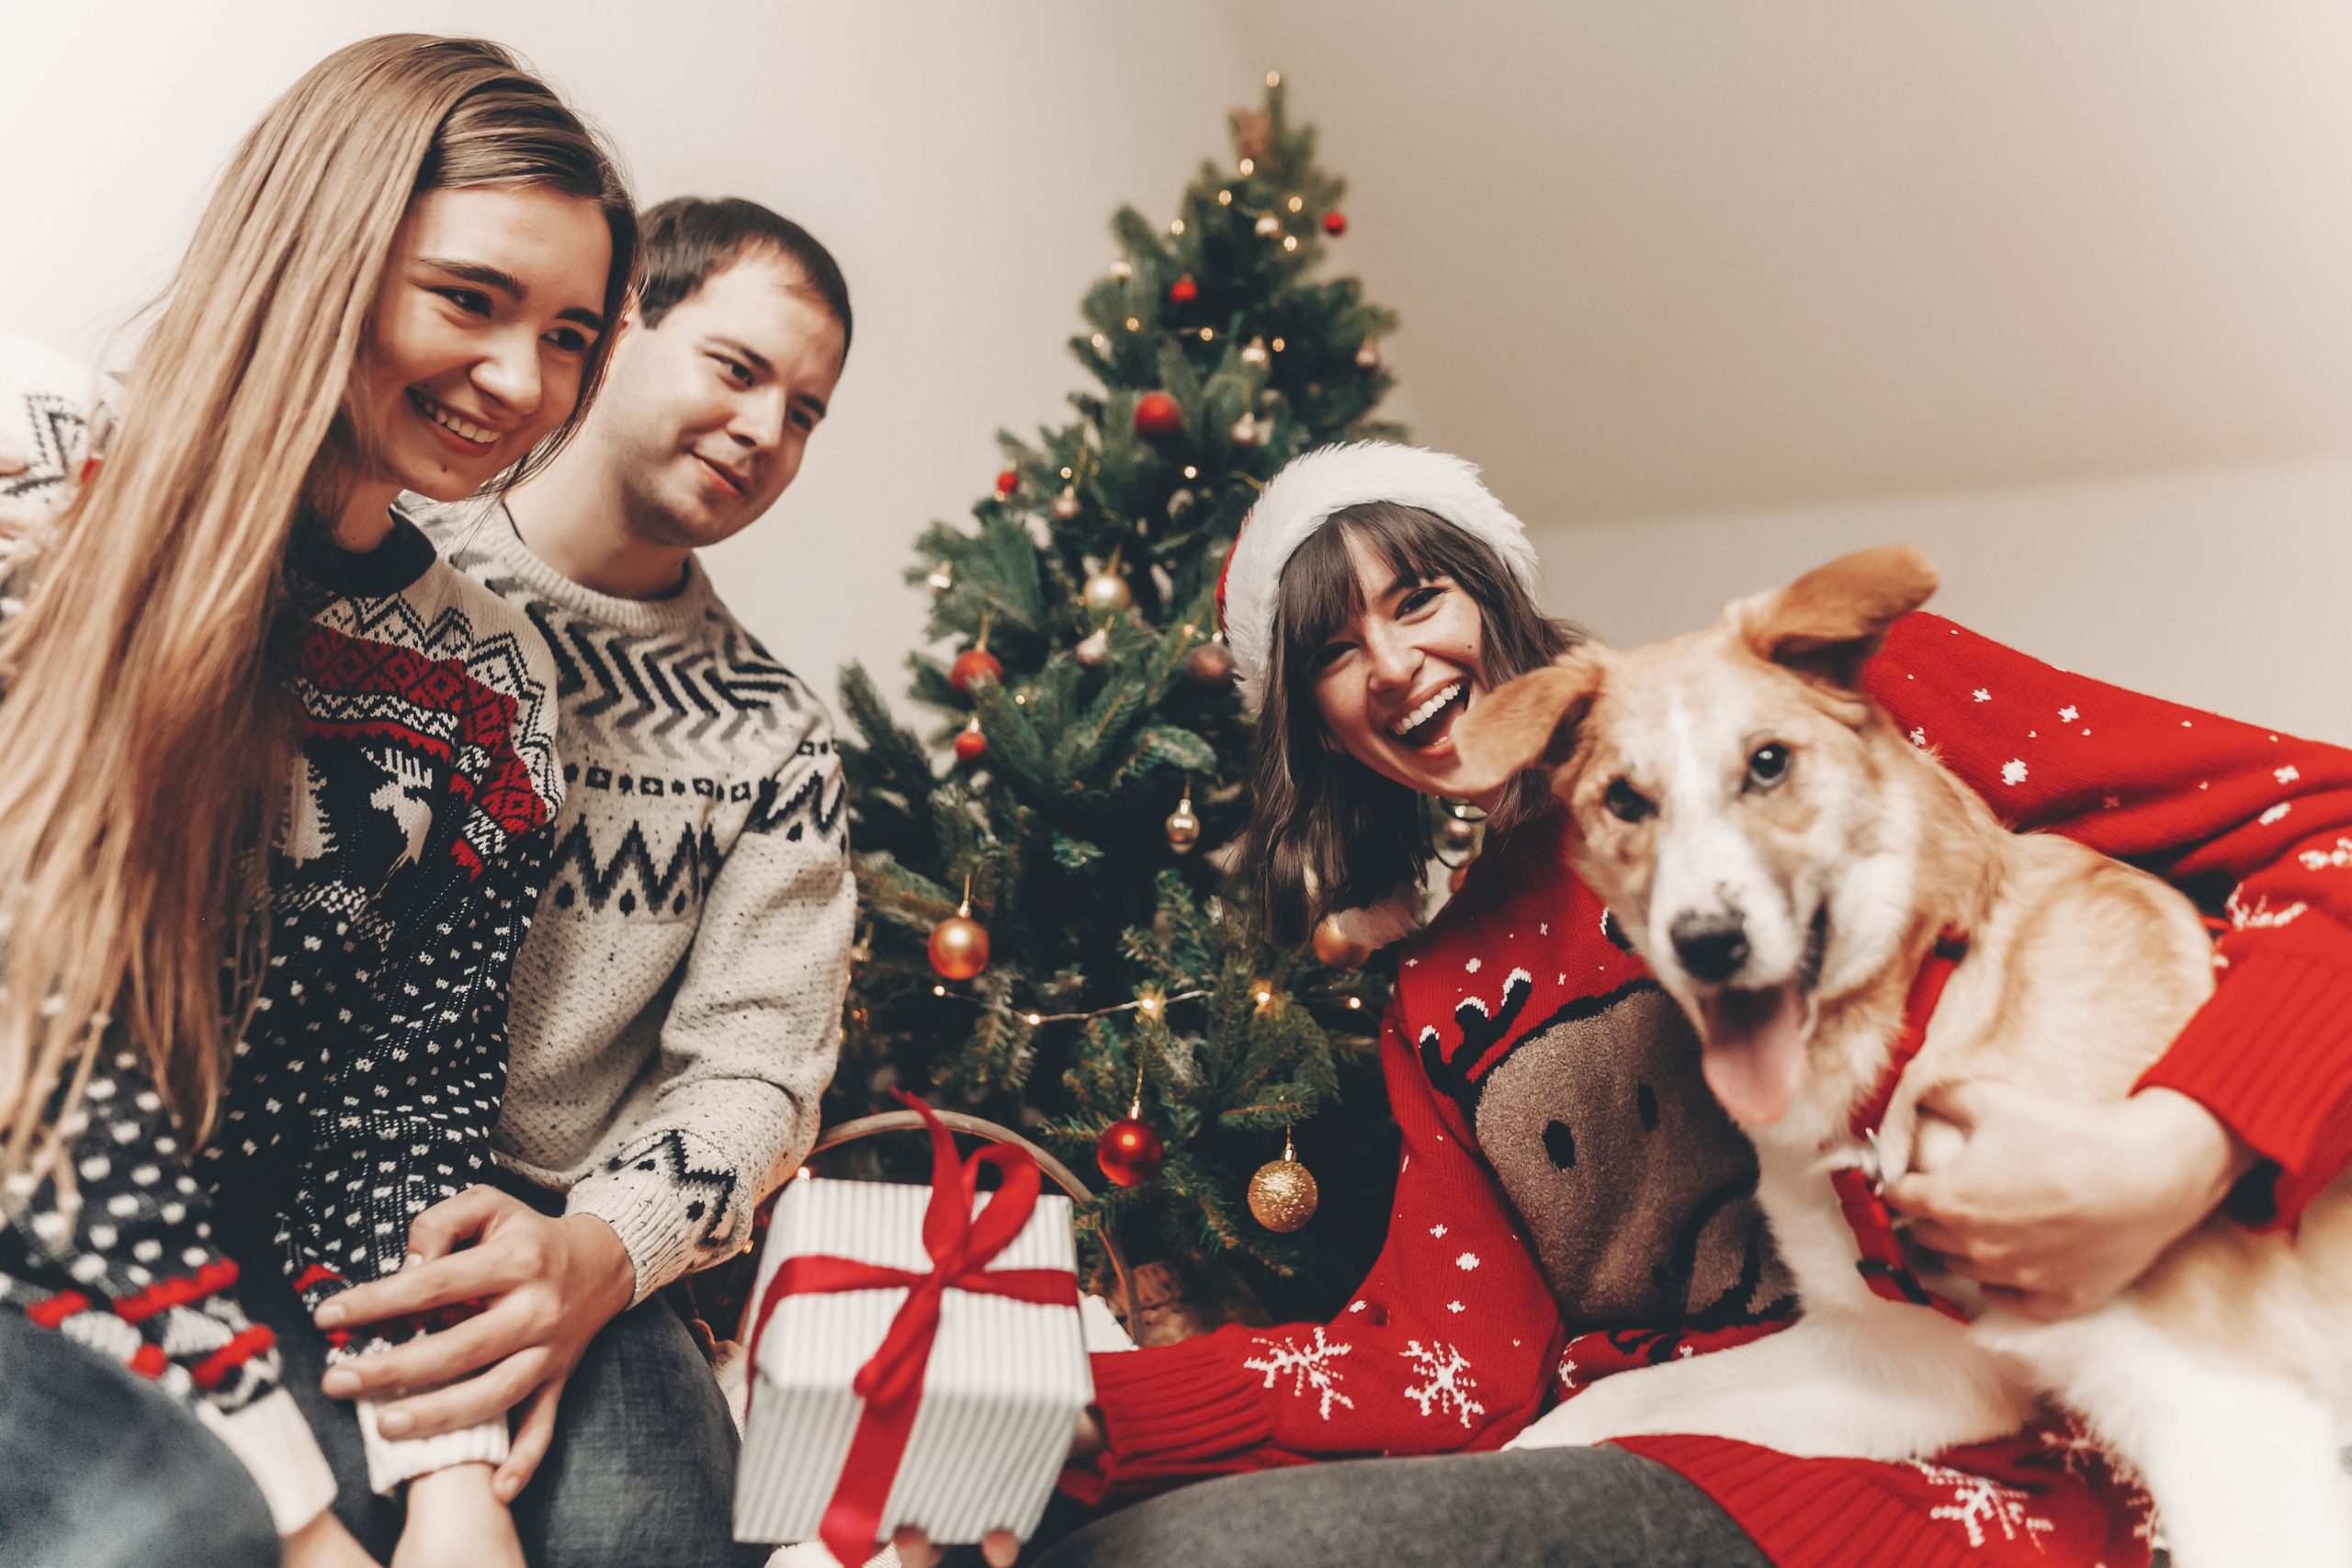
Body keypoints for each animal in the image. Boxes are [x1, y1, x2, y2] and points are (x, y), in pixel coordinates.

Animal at [1448, 545, 2352, 1561]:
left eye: (1768, 764)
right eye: (1626, 801)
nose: (1708, 942)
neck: (1920, 1027)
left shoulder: (2229, 1420)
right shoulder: (1899, 1365)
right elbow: (1608, 1404)